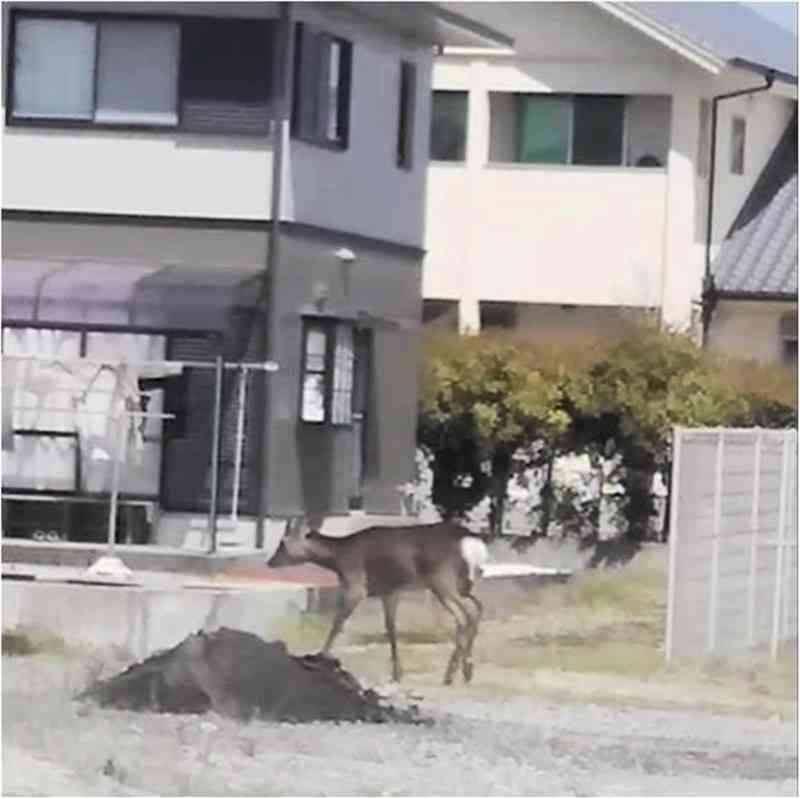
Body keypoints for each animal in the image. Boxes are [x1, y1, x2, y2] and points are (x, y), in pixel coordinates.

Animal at [268, 520, 488, 688]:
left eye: (283, 542)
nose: (270, 562)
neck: (339, 558)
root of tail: (472, 542)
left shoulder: (356, 585)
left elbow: (338, 622)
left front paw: (320, 657)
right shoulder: (389, 591)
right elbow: (390, 628)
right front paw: (397, 674)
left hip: (442, 580)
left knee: (465, 615)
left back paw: (452, 674)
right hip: (464, 584)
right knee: (477, 608)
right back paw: (466, 671)